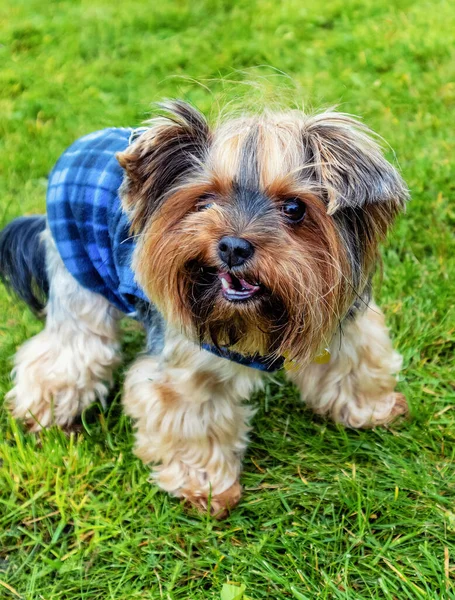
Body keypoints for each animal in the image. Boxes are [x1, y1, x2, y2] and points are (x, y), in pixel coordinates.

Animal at [0, 102, 410, 516]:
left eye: (294, 208)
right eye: (205, 201)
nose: (233, 246)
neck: (259, 317)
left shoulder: (340, 319)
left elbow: (354, 361)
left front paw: (371, 408)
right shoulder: (189, 362)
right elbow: (191, 416)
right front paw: (207, 488)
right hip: (79, 280)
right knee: (71, 352)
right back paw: (44, 415)